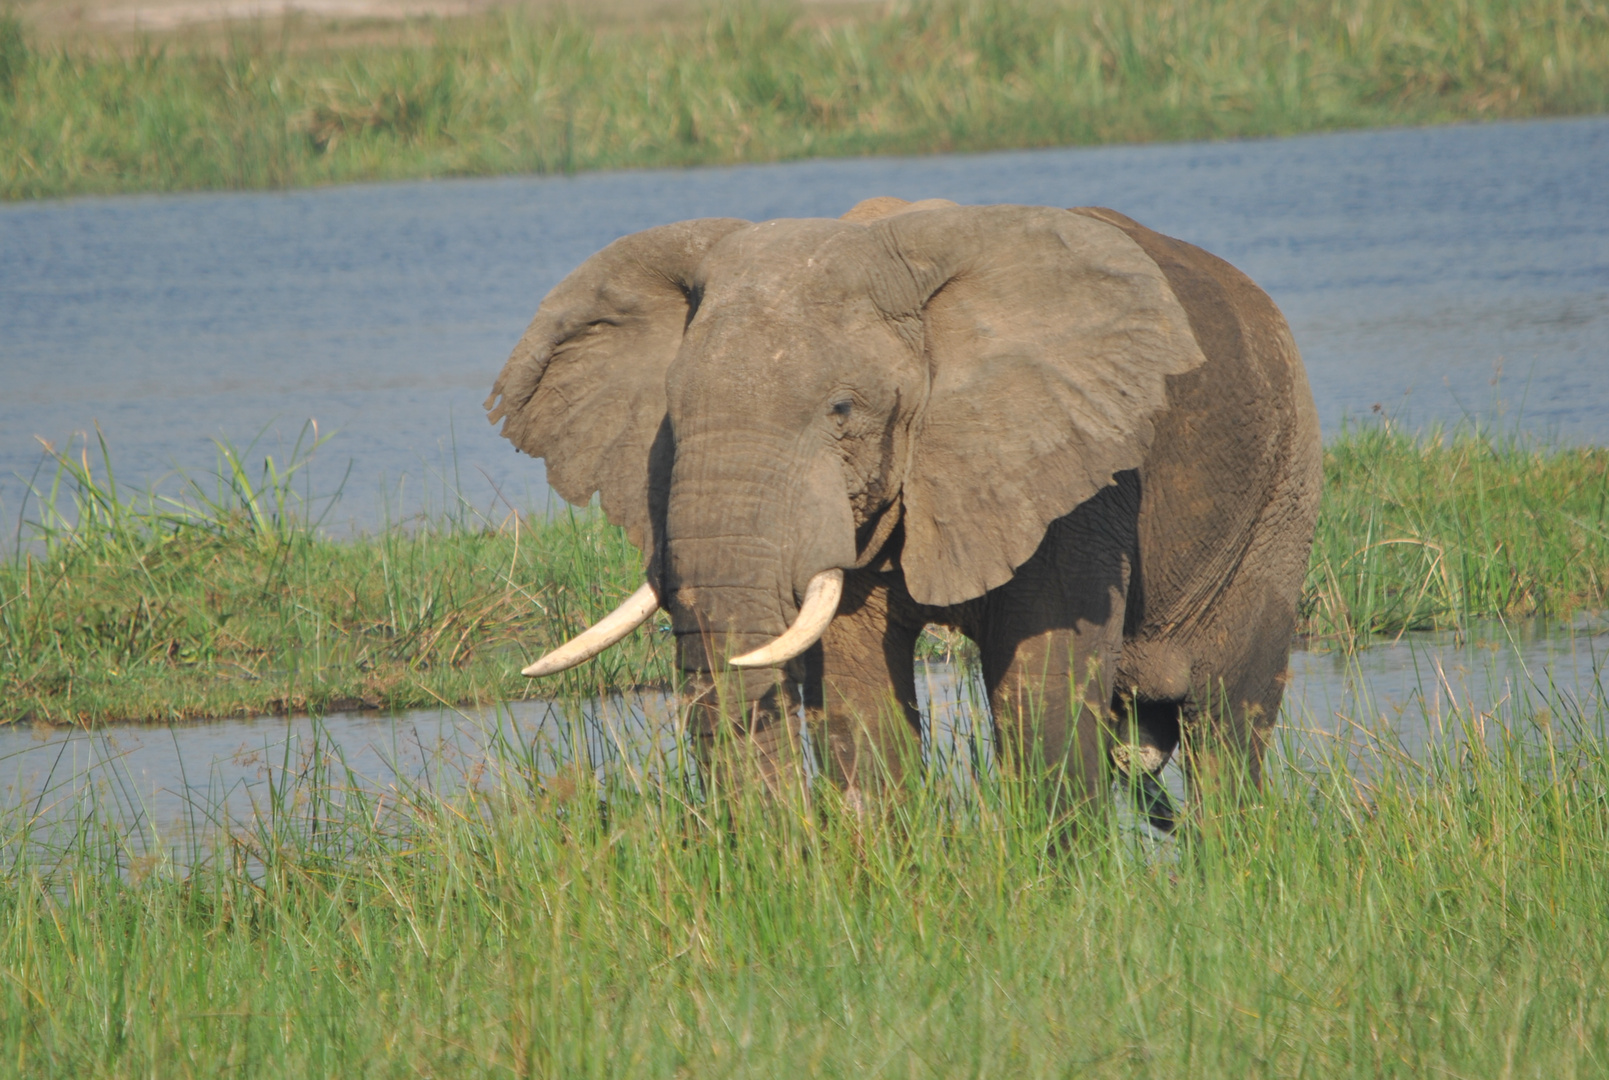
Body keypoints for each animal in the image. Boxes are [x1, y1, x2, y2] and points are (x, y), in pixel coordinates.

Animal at [489, 196, 1319, 820]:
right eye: (669, 420)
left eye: (841, 409)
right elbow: (856, 681)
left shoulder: (1076, 466)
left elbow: (1044, 680)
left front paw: (1064, 890)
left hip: (1281, 493)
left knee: (1226, 728)